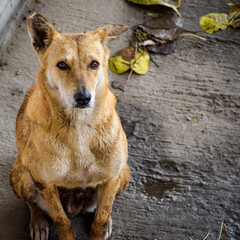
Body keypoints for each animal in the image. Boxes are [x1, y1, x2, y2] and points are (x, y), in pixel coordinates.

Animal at [9, 13, 129, 240]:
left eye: (94, 64)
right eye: (62, 65)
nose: (83, 98)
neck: (80, 126)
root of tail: (76, 208)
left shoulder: (112, 177)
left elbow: (100, 220)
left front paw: (103, 224)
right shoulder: (45, 183)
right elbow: (61, 222)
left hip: (124, 173)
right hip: (22, 176)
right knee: (33, 205)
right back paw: (38, 222)